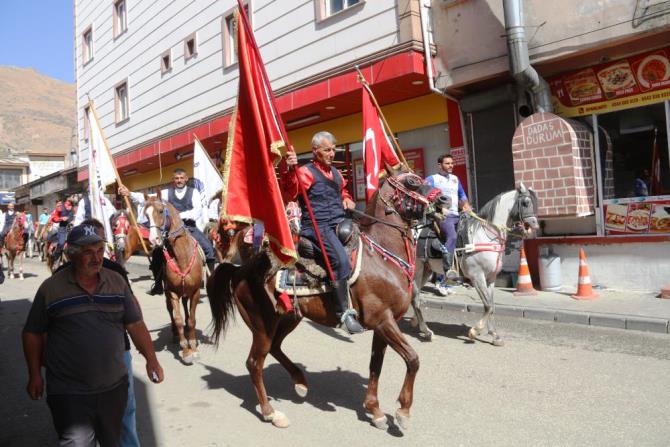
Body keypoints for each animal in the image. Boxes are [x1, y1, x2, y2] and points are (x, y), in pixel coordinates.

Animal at [147, 198, 207, 366]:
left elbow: (192, 319)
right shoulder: (172, 292)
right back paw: (174, 334)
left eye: (160, 211)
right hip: (169, 293)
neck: (182, 256)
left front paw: (193, 346)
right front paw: (186, 351)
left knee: (185, 307)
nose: (153, 240)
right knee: (170, 311)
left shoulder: (195, 292)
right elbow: (178, 319)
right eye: (145, 214)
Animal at [209, 172, 452, 430]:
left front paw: (374, 410)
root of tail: (241, 270)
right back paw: (271, 413)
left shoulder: (383, 325)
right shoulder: (383, 321)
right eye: (412, 182)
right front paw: (403, 412)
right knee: (254, 363)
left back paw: (300, 381)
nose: (445, 199)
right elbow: (413, 359)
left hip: (288, 318)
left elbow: (375, 366)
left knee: (275, 348)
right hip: (262, 326)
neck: (382, 256)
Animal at [410, 184, 540, 344]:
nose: (535, 225)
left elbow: (492, 305)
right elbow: (487, 305)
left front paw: (495, 335)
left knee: (414, 296)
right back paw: (427, 331)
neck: (486, 235)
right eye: (526, 203)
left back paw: (415, 321)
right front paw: (474, 331)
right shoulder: (477, 276)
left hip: (426, 272)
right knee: (415, 298)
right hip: (417, 270)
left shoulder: (491, 279)